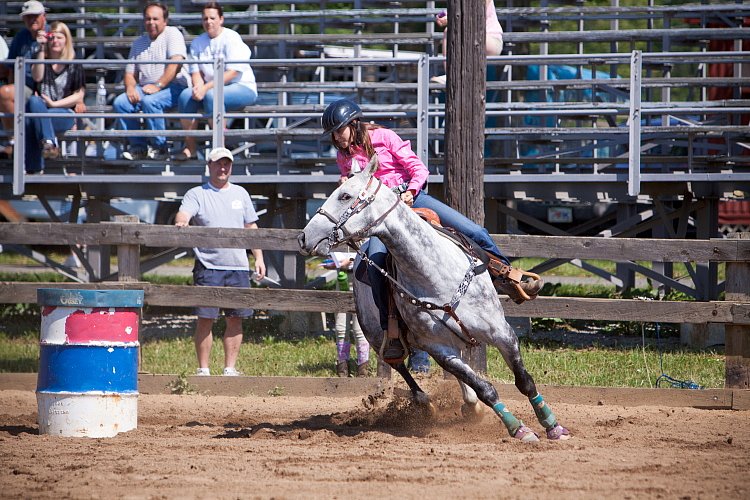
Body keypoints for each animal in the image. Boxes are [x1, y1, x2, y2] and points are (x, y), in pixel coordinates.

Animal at [298, 158, 568, 444]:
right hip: (375, 333)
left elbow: (524, 381)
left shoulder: (501, 332)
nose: (303, 237)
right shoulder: (438, 348)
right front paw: (519, 429)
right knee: (401, 366)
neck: (435, 272)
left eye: (345, 195)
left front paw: (552, 425)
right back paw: (426, 403)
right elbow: (485, 388)